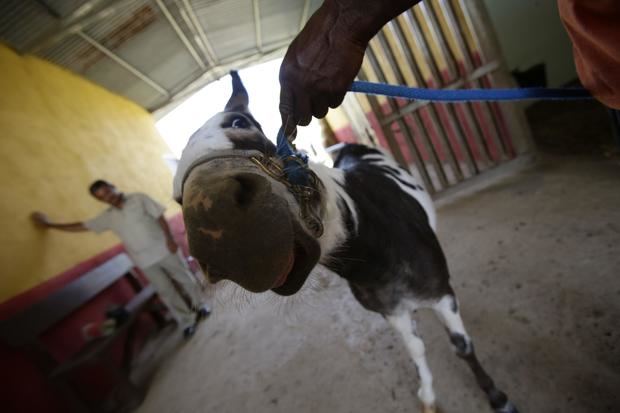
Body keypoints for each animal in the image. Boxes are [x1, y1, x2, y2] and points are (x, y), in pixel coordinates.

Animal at [171, 71, 520, 412]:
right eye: (176, 199)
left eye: (238, 123)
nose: (217, 229)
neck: (374, 255)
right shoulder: (391, 311)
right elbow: (416, 349)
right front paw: (429, 396)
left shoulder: (441, 295)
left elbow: (462, 345)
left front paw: (497, 398)